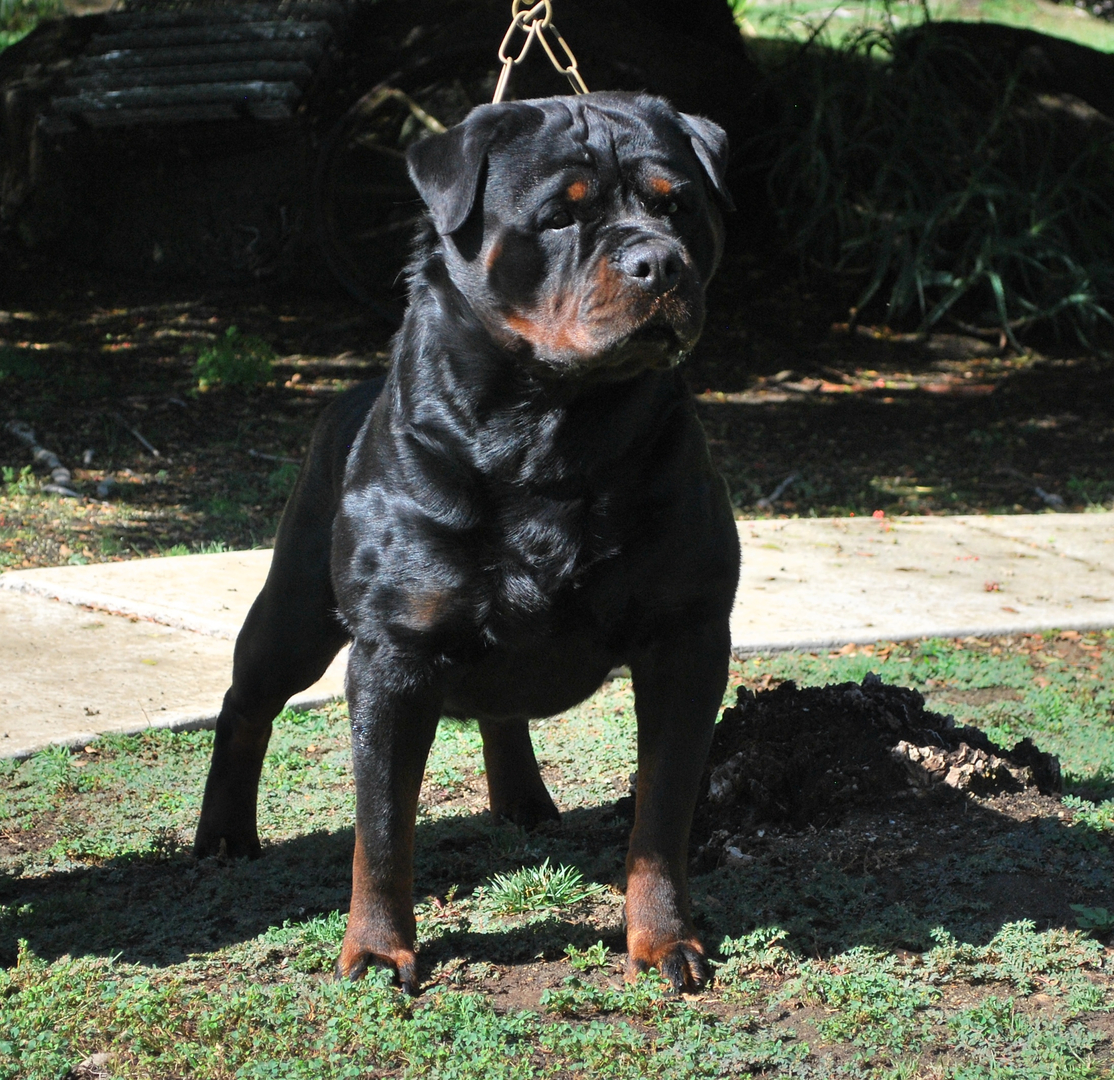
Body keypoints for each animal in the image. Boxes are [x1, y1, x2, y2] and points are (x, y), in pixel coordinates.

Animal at [196, 94, 744, 994]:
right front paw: (377, 950)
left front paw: (665, 940)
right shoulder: (393, 652)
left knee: (502, 704)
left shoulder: (688, 637)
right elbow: (383, 828)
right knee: (249, 698)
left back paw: (522, 798)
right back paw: (222, 834)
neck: (553, 429)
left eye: (680, 207)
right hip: (298, 610)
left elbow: (662, 814)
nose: (659, 264)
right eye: (560, 215)